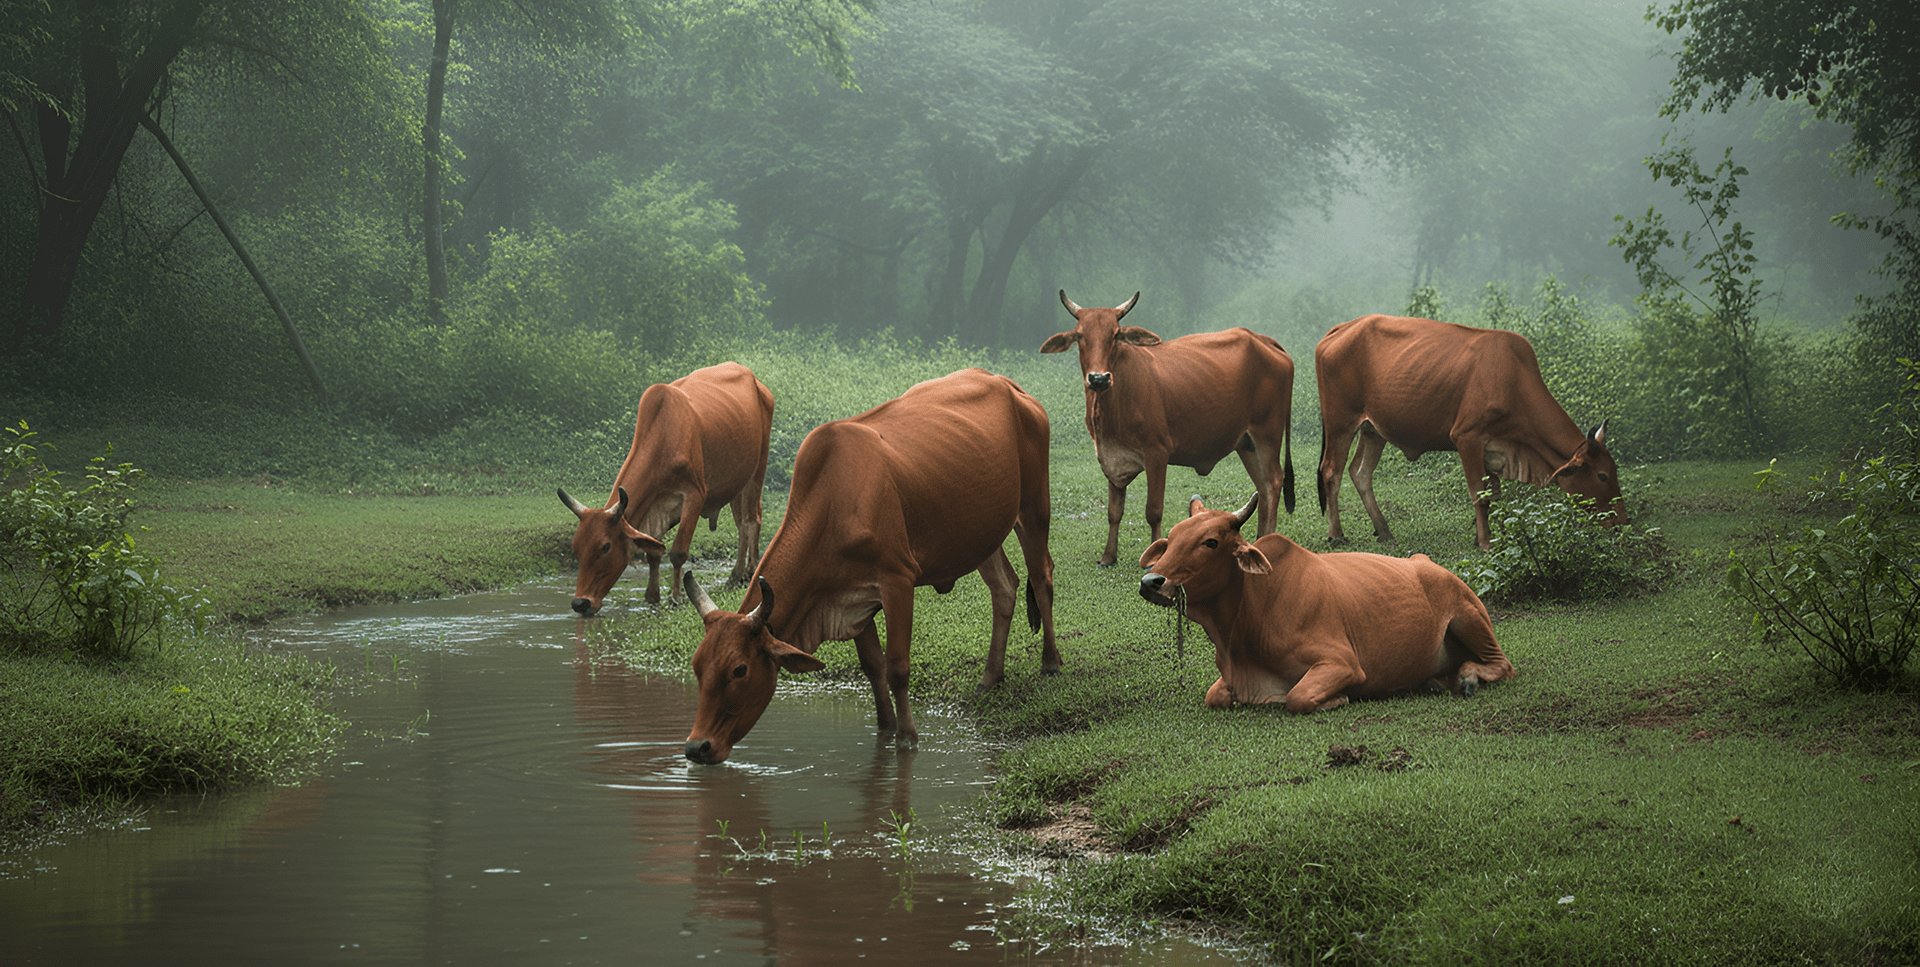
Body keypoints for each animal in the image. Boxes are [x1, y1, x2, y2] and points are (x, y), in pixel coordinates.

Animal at [559, 361, 774, 615]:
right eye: (576, 547)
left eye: (605, 547)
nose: (580, 603)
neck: (664, 437)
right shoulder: (656, 506)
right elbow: (654, 552)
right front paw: (652, 596)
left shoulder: (694, 495)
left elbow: (678, 552)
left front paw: (676, 597)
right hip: (736, 482)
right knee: (742, 524)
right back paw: (736, 576)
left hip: (757, 471)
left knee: (751, 522)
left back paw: (746, 573)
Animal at [681, 368, 1060, 764]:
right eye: (697, 665)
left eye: (739, 669)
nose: (697, 747)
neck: (833, 505)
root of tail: (1006, 383)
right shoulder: (851, 599)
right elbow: (873, 667)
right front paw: (886, 730)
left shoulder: (898, 582)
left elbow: (897, 668)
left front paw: (907, 738)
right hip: (981, 534)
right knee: (1005, 587)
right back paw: (990, 677)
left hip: (1034, 506)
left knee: (1042, 576)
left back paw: (1050, 662)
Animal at [1041, 290, 1296, 566]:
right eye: (1079, 335)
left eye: (1116, 335)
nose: (1099, 378)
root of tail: (1261, 339)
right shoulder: (1112, 459)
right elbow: (1114, 511)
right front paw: (1108, 556)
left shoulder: (1157, 453)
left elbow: (1153, 511)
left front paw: (1154, 553)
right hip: (1247, 444)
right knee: (1262, 486)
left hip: (1267, 433)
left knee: (1273, 481)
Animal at [1138, 495, 1515, 712]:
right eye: (1170, 539)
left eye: (1211, 542)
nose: (1151, 582)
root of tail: (1428, 563)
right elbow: (1213, 696)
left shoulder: (1342, 664)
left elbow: (1297, 698)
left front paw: (1341, 698)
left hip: (1469, 617)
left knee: (1503, 665)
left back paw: (1466, 678)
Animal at [1314, 314, 1624, 551]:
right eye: (1602, 476)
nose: (1621, 522)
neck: (1514, 381)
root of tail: (1342, 328)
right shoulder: (1467, 438)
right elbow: (1479, 494)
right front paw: (1485, 543)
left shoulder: (1495, 449)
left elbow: (1495, 495)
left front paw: (1496, 536)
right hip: (1340, 422)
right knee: (1332, 471)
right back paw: (1336, 534)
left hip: (1373, 429)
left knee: (1360, 472)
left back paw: (1384, 530)